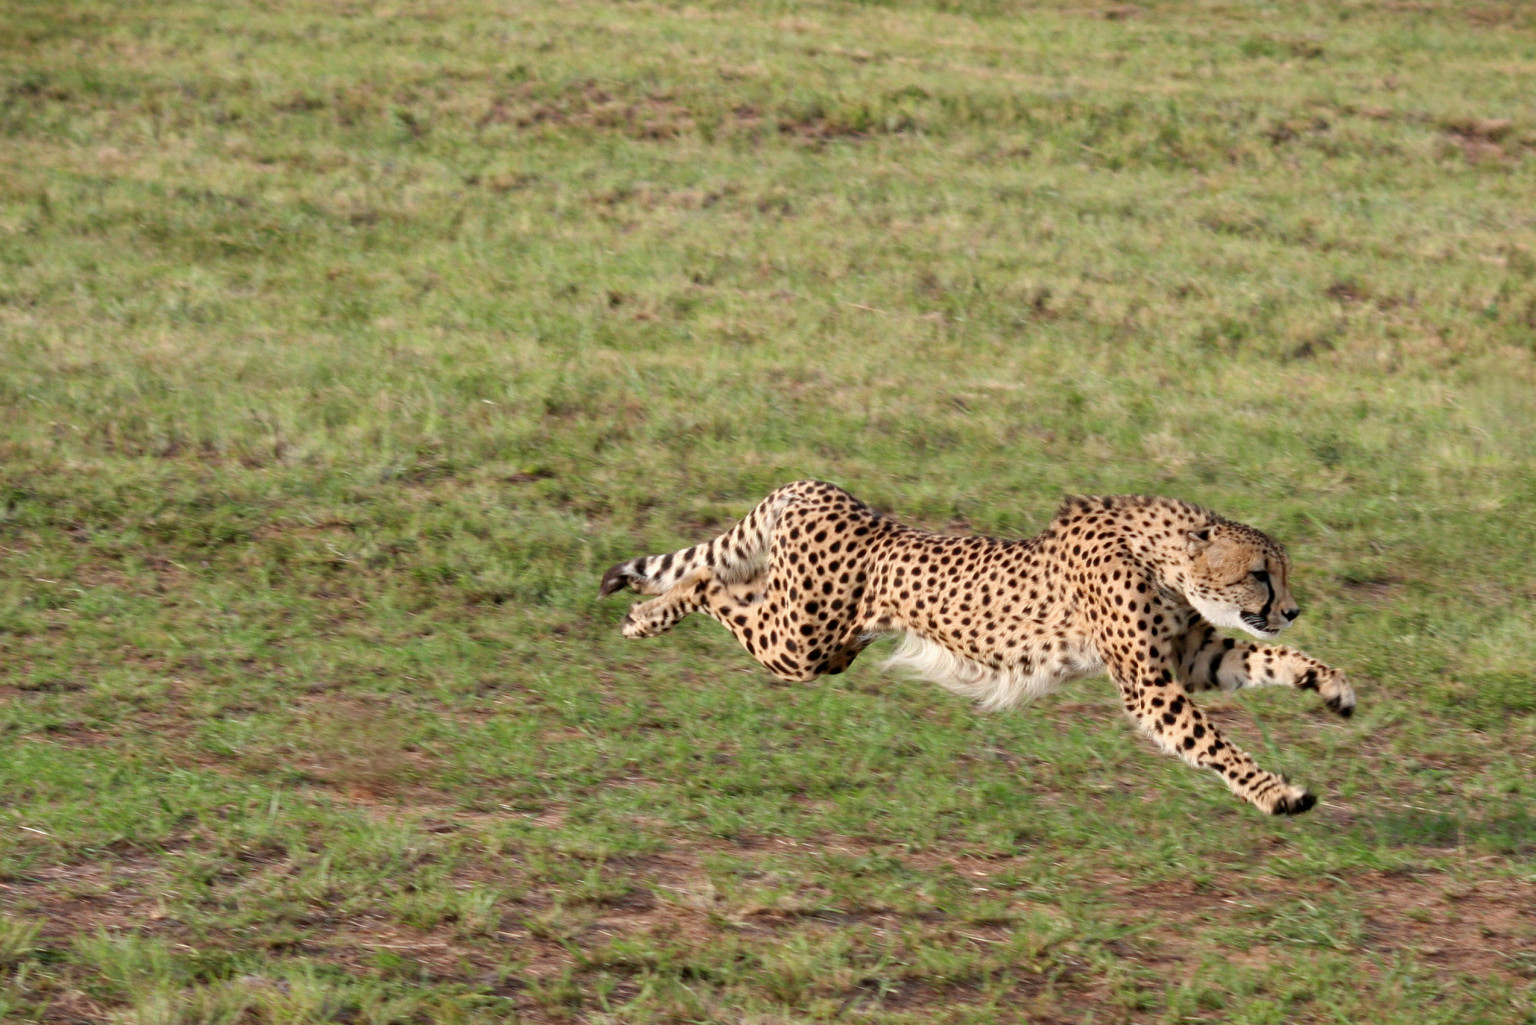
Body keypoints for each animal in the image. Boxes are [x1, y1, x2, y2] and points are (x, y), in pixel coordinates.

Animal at [599, 482, 1357, 817]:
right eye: (1260, 573)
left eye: (1280, 573)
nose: (1291, 609)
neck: (1161, 553)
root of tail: (824, 490)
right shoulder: (1152, 686)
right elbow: (1217, 745)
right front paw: (1277, 792)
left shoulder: (1190, 660)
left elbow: (1271, 660)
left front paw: (1332, 686)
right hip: (800, 643)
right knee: (706, 581)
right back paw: (647, 616)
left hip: (810, 629)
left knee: (728, 581)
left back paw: (645, 608)